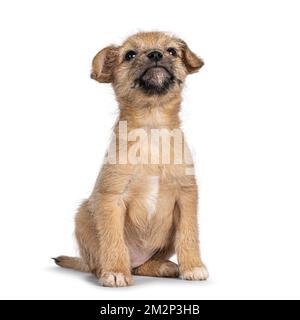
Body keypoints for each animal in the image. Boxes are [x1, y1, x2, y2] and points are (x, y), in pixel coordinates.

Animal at [54, 31, 209, 288]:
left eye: (171, 51)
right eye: (129, 55)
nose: (155, 54)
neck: (152, 128)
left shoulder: (186, 196)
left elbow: (189, 235)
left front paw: (193, 266)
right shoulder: (112, 198)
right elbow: (113, 240)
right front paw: (116, 271)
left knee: (141, 266)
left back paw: (163, 266)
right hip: (83, 216)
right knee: (100, 263)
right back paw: (112, 269)